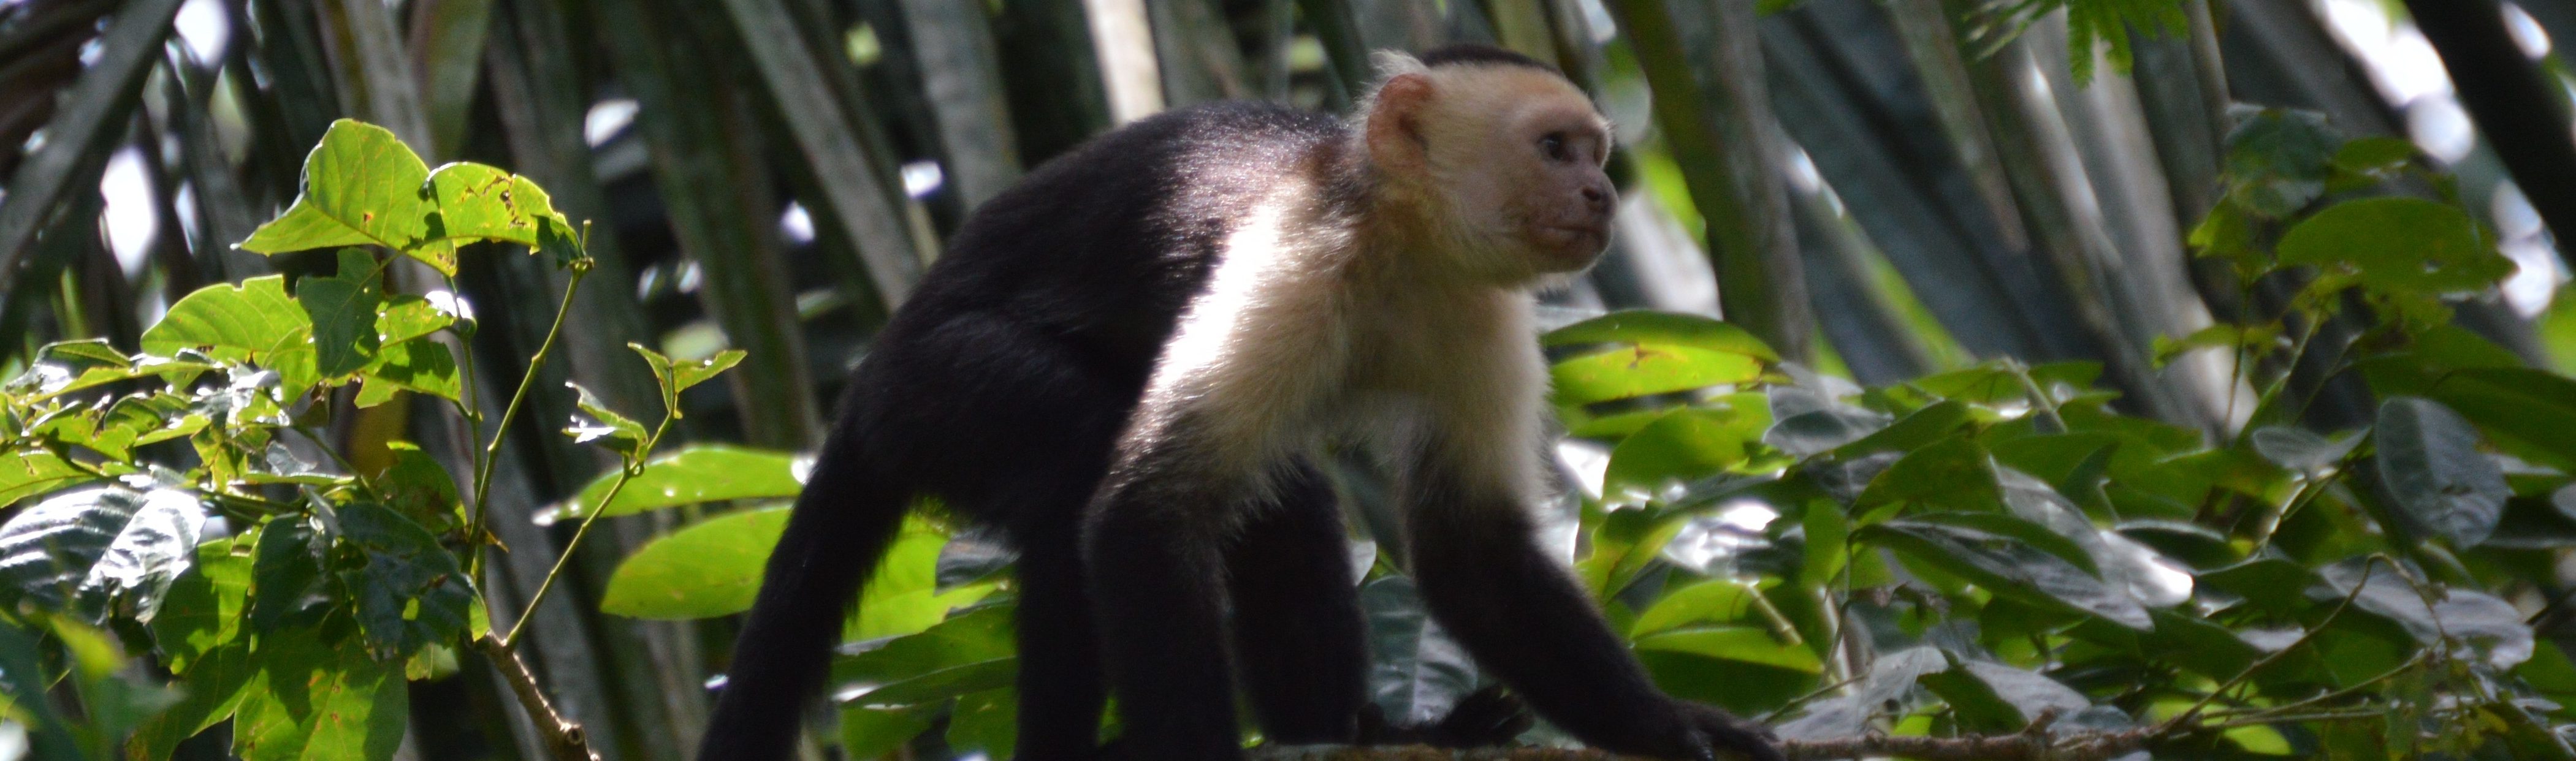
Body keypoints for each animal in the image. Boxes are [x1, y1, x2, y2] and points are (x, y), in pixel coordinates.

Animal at [706, 46, 1793, 761]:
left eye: (1596, 154)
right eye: (1557, 148)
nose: (1603, 195)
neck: (1399, 240)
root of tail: (867, 380)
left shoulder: (1481, 311)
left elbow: (1471, 550)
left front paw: (1669, 728)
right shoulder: (1293, 253)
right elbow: (1143, 514)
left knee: (1282, 503)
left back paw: (1361, 730)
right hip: (940, 385)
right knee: (1075, 479)